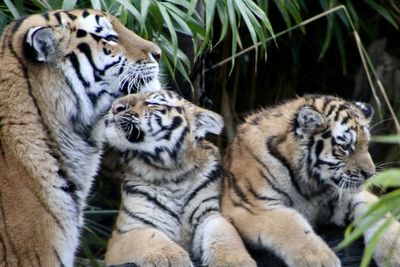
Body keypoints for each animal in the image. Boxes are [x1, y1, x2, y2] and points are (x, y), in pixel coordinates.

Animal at [101, 91, 255, 267]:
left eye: (151, 103)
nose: (114, 106)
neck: (172, 173)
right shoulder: (124, 233)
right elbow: (148, 236)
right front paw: (171, 258)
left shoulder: (209, 214)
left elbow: (225, 233)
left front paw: (236, 261)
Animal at [220, 96, 400, 267]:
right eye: (346, 147)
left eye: (366, 144)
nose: (370, 174)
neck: (310, 185)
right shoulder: (252, 206)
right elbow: (289, 224)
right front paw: (321, 260)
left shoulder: (342, 196)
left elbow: (377, 211)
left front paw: (394, 250)